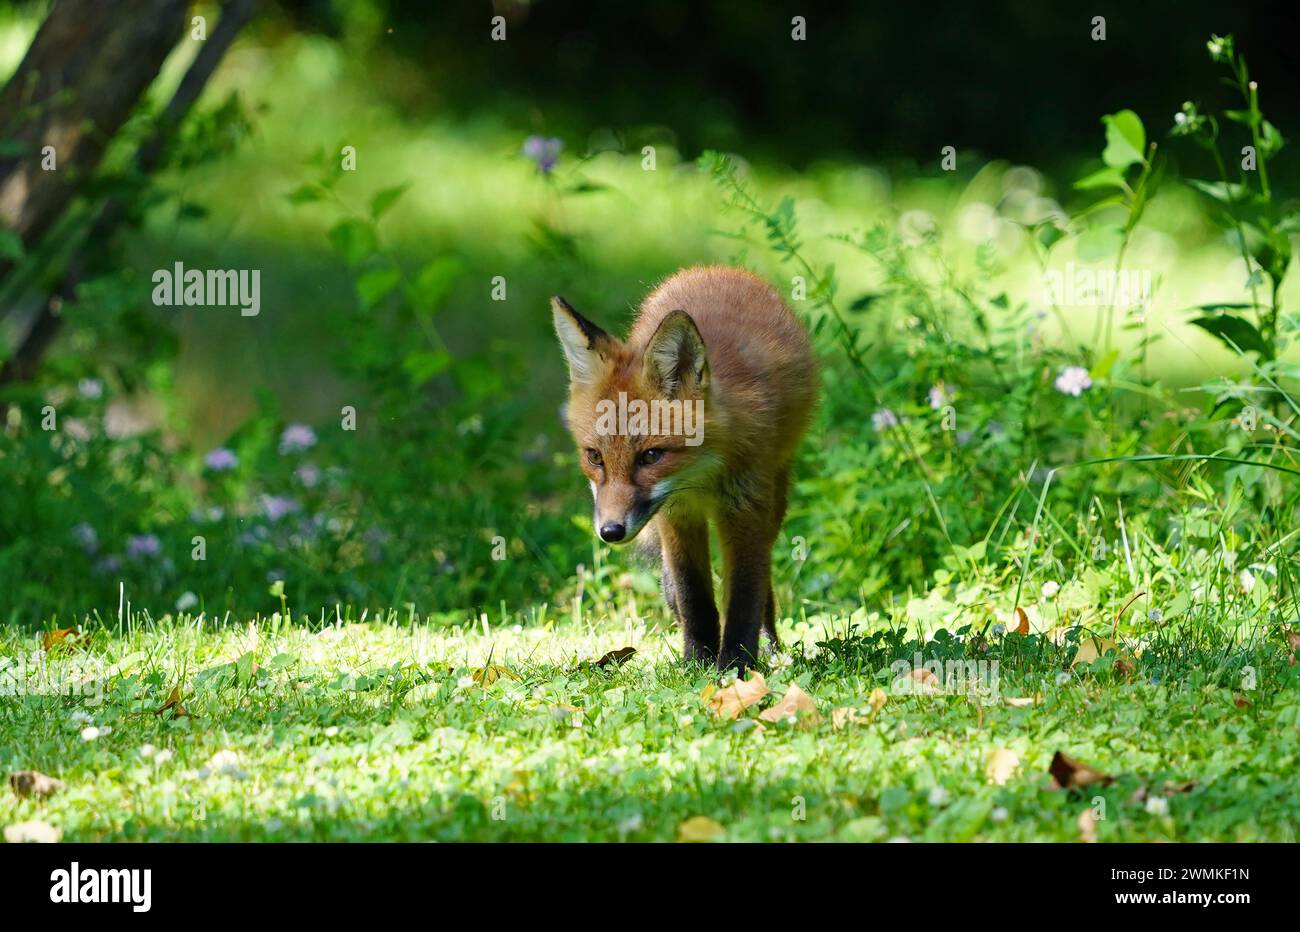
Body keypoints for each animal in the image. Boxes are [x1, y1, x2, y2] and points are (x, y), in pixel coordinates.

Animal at [552, 266, 818, 672]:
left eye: (651, 456)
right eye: (594, 457)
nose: (610, 531)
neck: (700, 477)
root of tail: (716, 270)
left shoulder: (746, 508)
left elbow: (745, 595)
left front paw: (736, 666)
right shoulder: (676, 514)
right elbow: (693, 596)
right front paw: (697, 661)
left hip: (776, 494)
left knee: (767, 580)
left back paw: (770, 645)